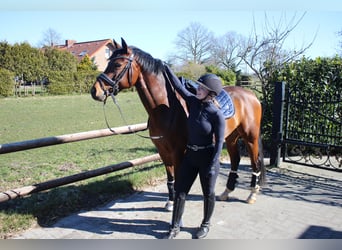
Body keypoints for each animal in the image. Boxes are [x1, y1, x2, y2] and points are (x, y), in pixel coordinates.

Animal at [90, 38, 264, 207]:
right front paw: (171, 201)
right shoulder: (163, 151)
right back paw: (227, 192)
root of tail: (251, 95)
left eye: (118, 64)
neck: (166, 108)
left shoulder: (178, 151)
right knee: (235, 160)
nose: (95, 91)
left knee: (255, 162)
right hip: (231, 137)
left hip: (250, 137)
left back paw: (252, 194)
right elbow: (170, 177)